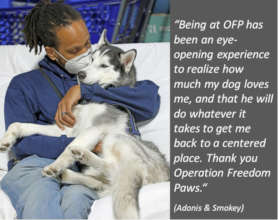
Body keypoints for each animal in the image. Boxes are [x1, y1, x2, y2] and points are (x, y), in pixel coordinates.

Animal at [0, 30, 169, 219]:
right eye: (91, 59)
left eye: (104, 66)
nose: (80, 75)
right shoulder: (66, 129)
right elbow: (18, 124)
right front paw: (7, 140)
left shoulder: (94, 129)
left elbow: (67, 147)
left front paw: (56, 165)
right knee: (104, 180)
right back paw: (68, 174)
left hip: (115, 139)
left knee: (111, 167)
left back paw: (79, 157)